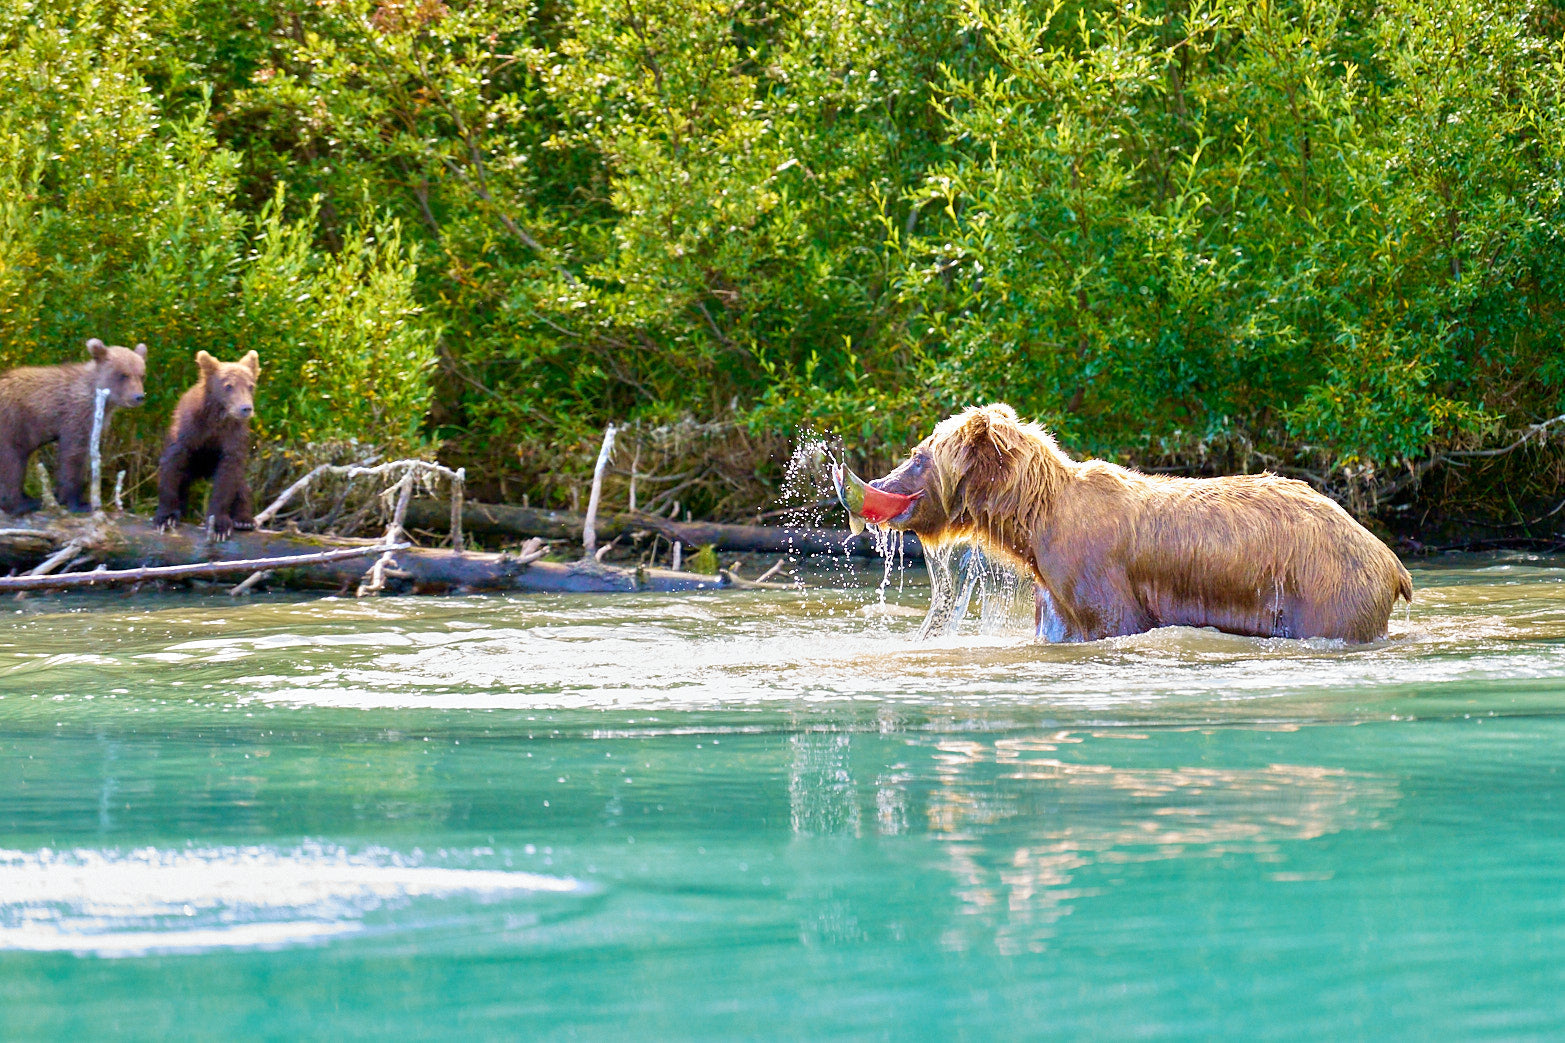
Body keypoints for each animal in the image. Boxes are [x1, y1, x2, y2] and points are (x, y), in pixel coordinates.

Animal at [0, 337, 148, 515]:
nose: (138, 397)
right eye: (123, 374)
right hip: (12, 423)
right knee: (12, 460)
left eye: (141, 375)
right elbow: (73, 455)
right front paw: (78, 502)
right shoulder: (76, 416)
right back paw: (23, 504)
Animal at [152, 350, 260, 539]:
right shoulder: (189, 431)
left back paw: (244, 519)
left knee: (241, 483)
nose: (245, 408)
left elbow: (228, 477)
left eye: (250, 386)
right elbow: (171, 465)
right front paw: (166, 517)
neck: (216, 419)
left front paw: (219, 525)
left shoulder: (232, 438)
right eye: (228, 386)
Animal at [836, 403, 1414, 643]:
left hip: (1325, 589)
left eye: (918, 456)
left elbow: (1117, 621)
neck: (1032, 525)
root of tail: (1392, 560)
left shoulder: (1095, 568)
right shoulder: (1054, 590)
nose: (877, 482)